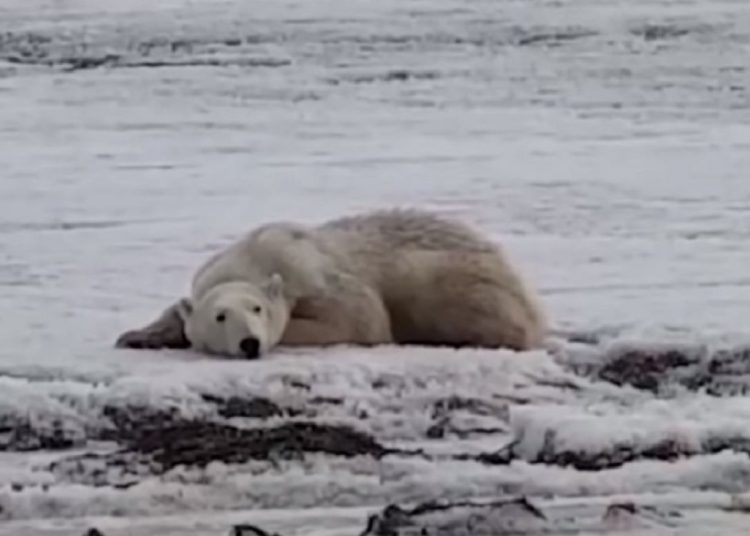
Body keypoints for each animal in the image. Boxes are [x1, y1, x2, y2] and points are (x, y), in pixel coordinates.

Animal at [115, 208, 547, 358]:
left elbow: (360, 318)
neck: (253, 257)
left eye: (258, 309)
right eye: (220, 316)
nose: (249, 343)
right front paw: (136, 336)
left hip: (452, 276)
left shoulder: (312, 274)